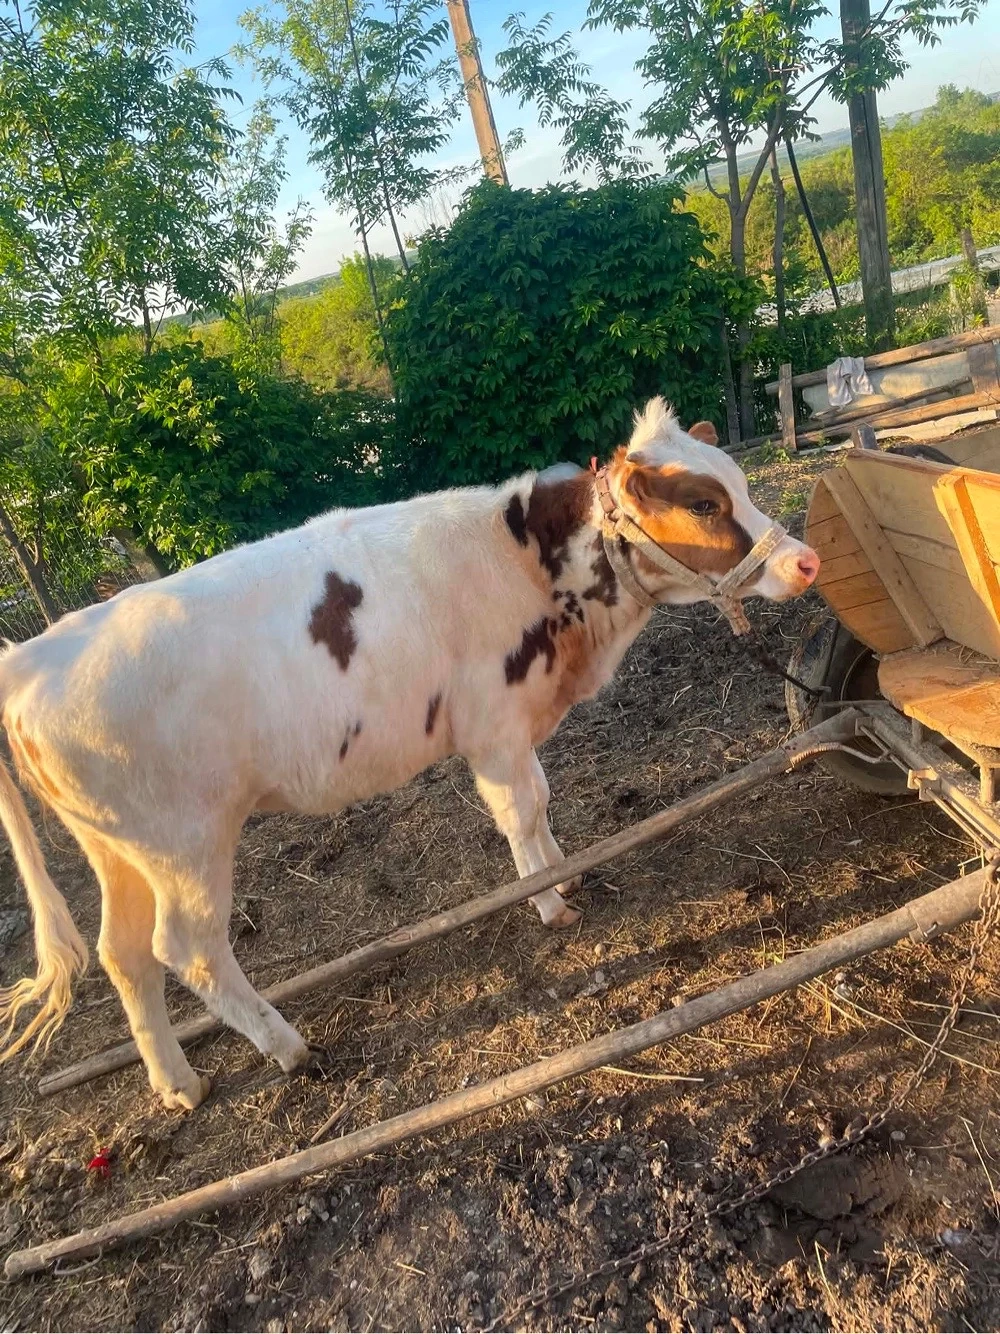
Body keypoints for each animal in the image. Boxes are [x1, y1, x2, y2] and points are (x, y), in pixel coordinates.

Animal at [0, 399, 819, 1110]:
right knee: (188, 948)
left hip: (118, 848)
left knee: (124, 956)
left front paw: (565, 872)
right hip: (186, 842)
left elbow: (542, 799)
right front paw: (549, 901)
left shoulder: (517, 725)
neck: (531, 564)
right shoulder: (492, 724)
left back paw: (179, 1084)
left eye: (739, 483)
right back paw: (287, 1047)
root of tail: (34, 652)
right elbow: (521, 813)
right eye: (704, 505)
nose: (806, 562)